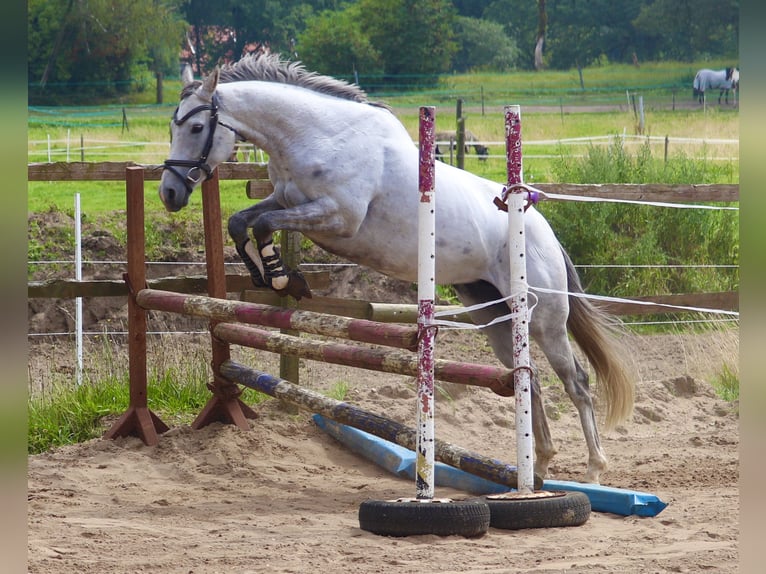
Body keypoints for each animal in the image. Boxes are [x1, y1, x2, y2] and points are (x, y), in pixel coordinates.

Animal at [158, 53, 636, 486]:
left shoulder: (339, 218)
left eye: (196, 128)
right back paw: (537, 467)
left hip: (544, 317)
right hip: (493, 313)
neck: (318, 136)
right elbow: (243, 221)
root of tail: (543, 229)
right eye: (171, 128)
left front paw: (279, 276)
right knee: (528, 381)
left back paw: (593, 470)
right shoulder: (287, 200)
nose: (169, 193)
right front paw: (270, 276)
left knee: (575, 381)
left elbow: (261, 224)